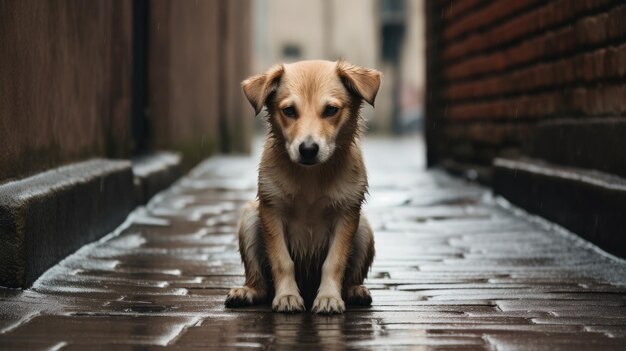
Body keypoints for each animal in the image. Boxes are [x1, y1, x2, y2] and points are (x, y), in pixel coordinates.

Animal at [225, 60, 378, 316]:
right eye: (289, 111)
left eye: (330, 110)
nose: (308, 149)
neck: (311, 178)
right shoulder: (271, 211)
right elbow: (282, 261)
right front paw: (287, 296)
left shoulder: (347, 213)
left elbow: (334, 262)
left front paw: (328, 297)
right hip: (249, 219)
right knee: (260, 283)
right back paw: (246, 291)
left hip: (364, 229)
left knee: (351, 277)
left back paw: (354, 290)